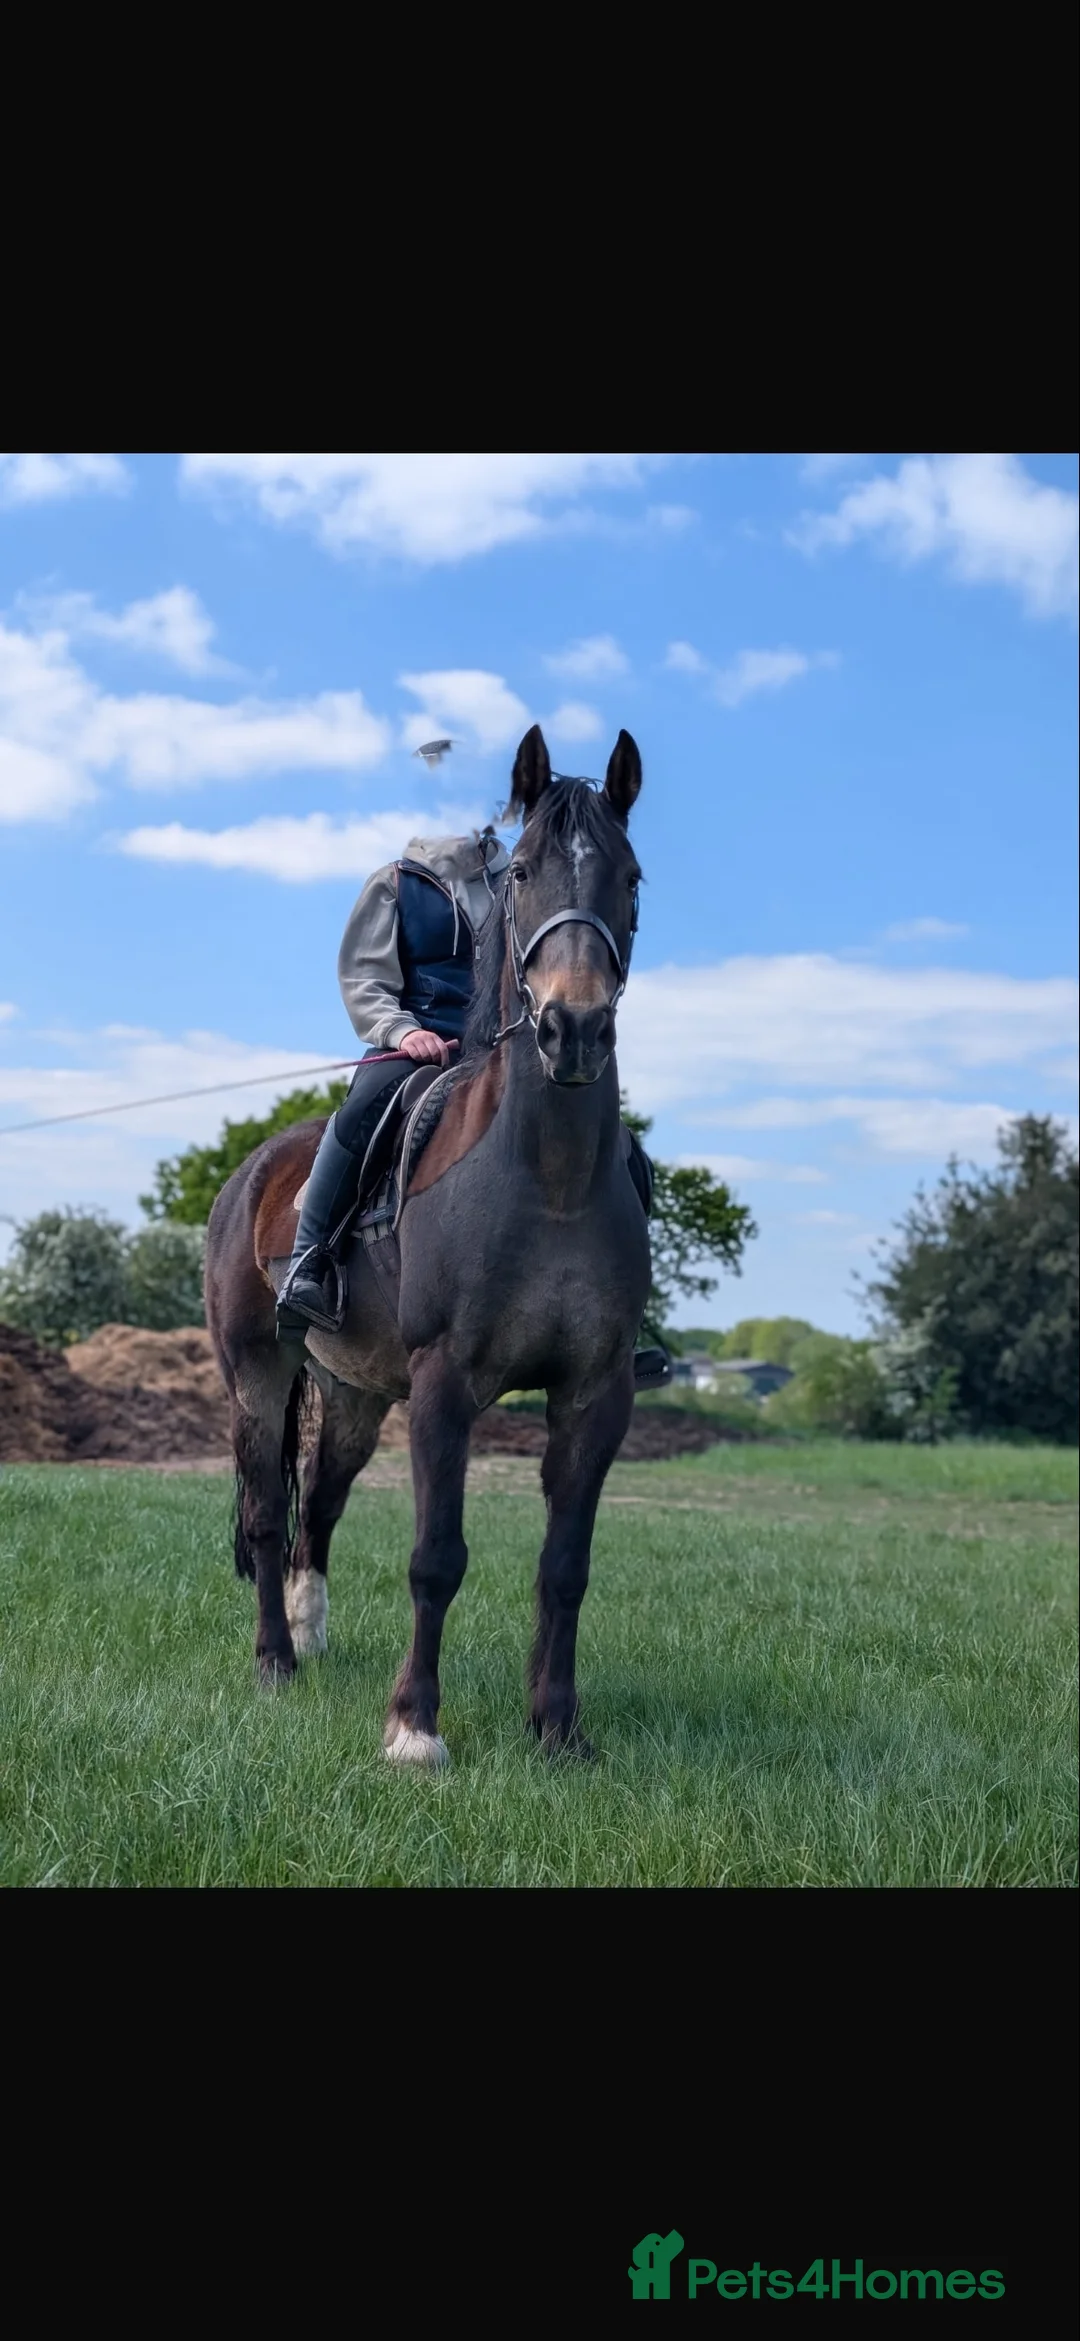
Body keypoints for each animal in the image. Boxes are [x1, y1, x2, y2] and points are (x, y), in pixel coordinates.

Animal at [203, 723, 651, 1765]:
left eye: (631, 877)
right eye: (522, 871)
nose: (574, 1027)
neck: (549, 1182)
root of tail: (251, 1174)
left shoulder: (596, 1393)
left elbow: (565, 1566)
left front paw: (557, 1726)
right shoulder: (446, 1383)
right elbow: (435, 1557)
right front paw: (414, 1727)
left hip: (356, 1393)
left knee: (318, 1509)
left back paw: (311, 1633)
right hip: (258, 1374)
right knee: (266, 1511)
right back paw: (276, 1660)